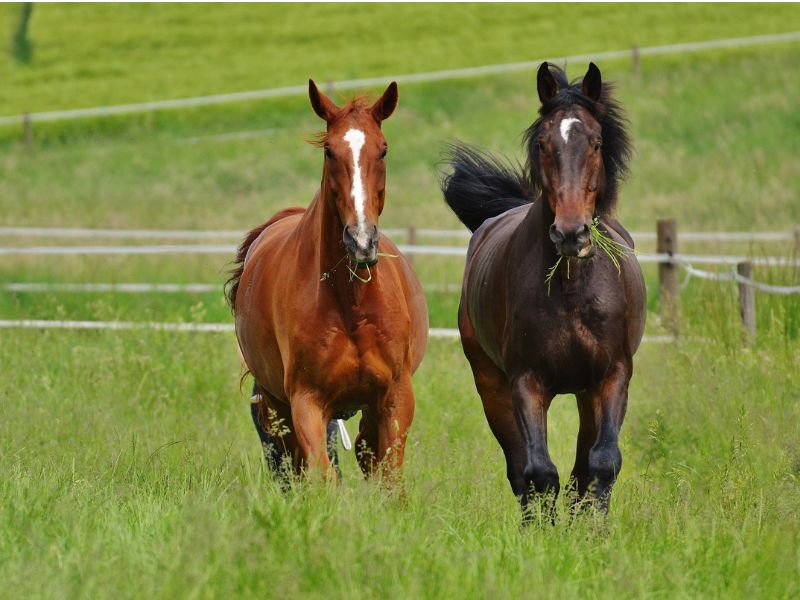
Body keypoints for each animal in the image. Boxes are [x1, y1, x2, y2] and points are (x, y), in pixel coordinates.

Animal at [227, 80, 428, 481]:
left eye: (383, 150)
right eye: (330, 152)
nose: (361, 240)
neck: (351, 303)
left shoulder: (395, 398)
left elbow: (388, 478)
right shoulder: (306, 402)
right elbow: (323, 475)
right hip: (277, 407)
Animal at [441, 62, 646, 514]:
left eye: (596, 142)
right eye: (542, 143)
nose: (570, 233)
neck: (571, 291)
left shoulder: (612, 375)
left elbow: (601, 463)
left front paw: (594, 528)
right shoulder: (526, 382)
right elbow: (538, 473)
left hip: (586, 394)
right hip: (492, 386)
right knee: (521, 470)